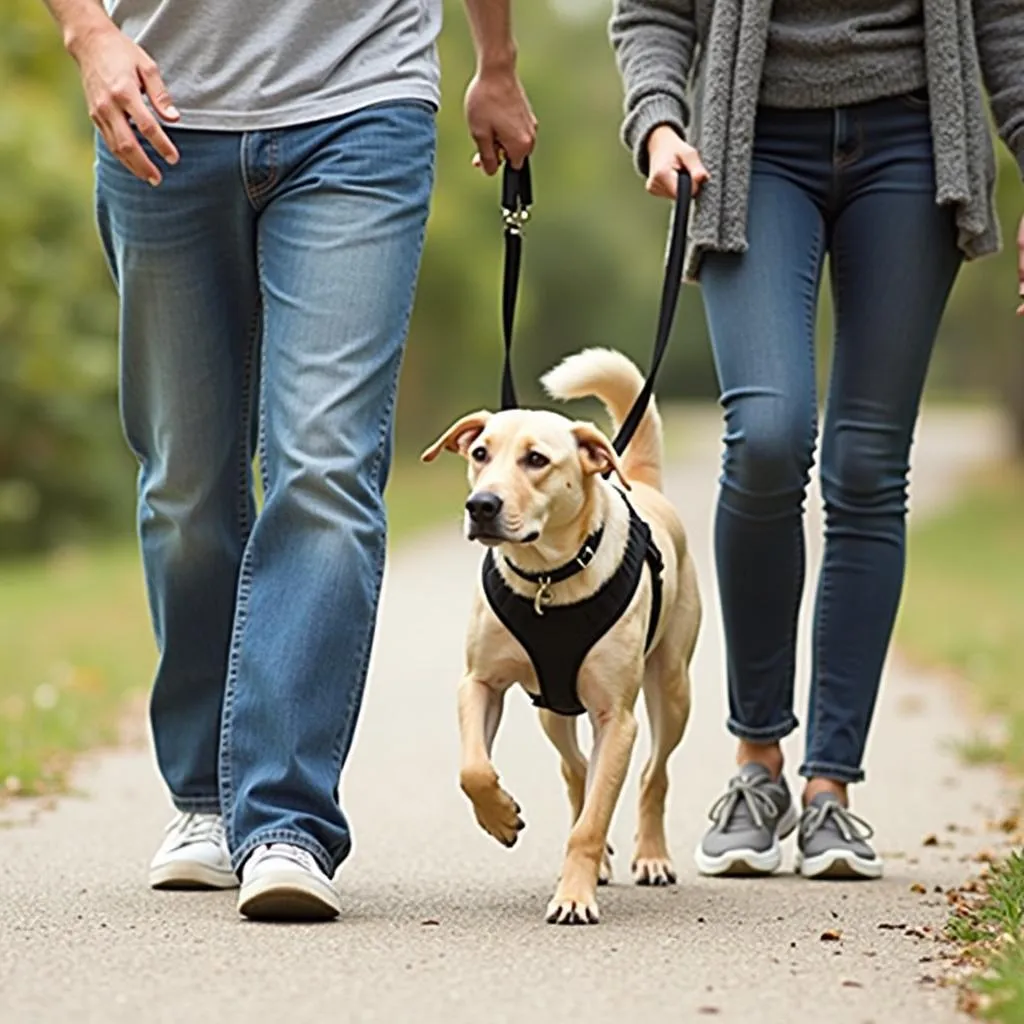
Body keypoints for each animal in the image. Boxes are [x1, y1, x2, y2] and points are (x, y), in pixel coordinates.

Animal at [419, 348, 700, 925]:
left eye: (536, 460)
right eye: (479, 453)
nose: (481, 505)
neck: (547, 579)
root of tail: (646, 487)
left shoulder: (617, 718)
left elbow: (592, 822)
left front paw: (574, 896)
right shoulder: (479, 684)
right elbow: (473, 769)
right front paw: (500, 816)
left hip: (672, 688)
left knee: (651, 775)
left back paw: (651, 856)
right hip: (553, 707)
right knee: (576, 771)